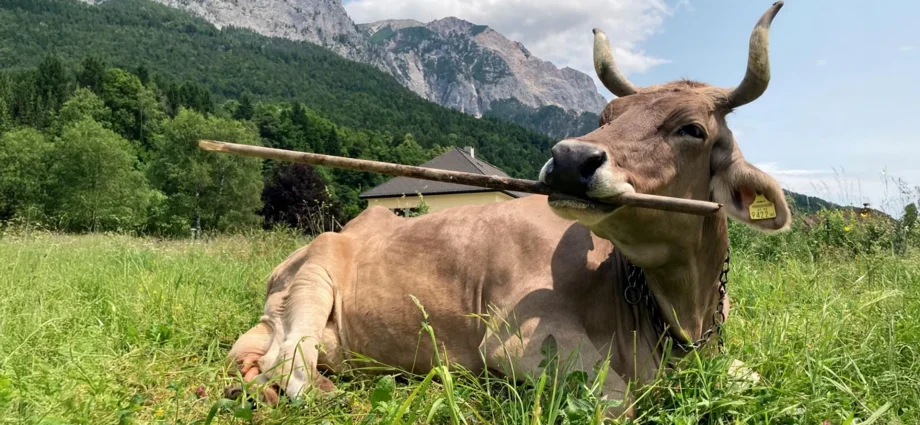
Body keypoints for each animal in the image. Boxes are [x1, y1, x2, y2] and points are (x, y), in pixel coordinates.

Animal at [225, 1, 790, 420]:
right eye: (606, 115)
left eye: (692, 129)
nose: (570, 159)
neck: (680, 316)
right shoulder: (519, 342)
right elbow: (619, 402)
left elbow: (758, 375)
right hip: (313, 280)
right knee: (288, 368)